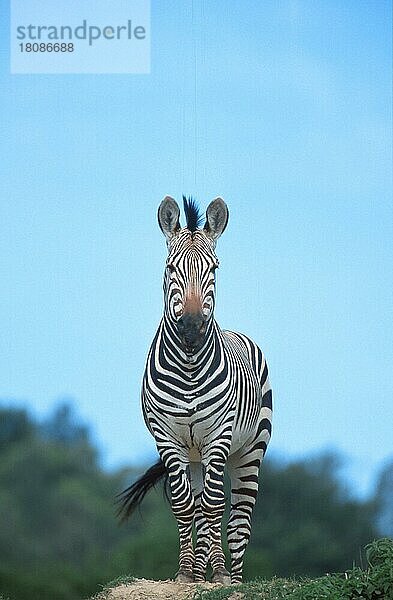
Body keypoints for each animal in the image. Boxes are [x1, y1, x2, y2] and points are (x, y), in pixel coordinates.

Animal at [118, 197, 272, 584]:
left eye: (213, 269)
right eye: (171, 267)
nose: (190, 327)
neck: (188, 366)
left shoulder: (219, 435)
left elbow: (216, 505)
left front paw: (218, 573)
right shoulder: (167, 439)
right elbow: (186, 505)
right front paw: (188, 572)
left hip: (249, 450)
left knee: (238, 520)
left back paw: (232, 579)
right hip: (195, 454)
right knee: (201, 508)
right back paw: (201, 569)